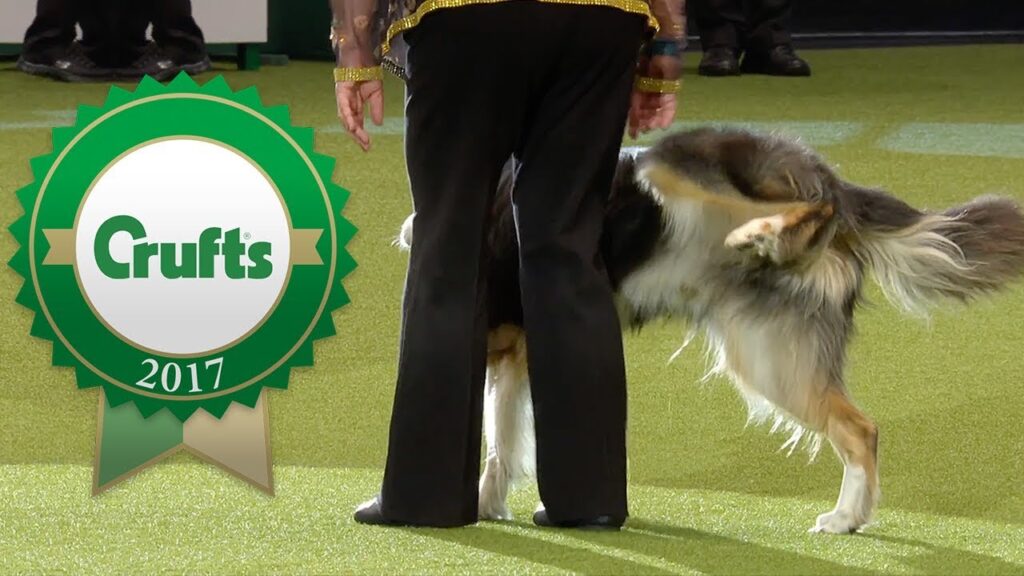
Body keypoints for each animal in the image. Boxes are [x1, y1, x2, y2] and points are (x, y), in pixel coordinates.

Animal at [393, 127, 1024, 532]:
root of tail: (832, 184)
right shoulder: (511, 355)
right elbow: (500, 443)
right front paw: (487, 504)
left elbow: (496, 439)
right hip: (767, 344)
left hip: (678, 172)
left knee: (860, 427)